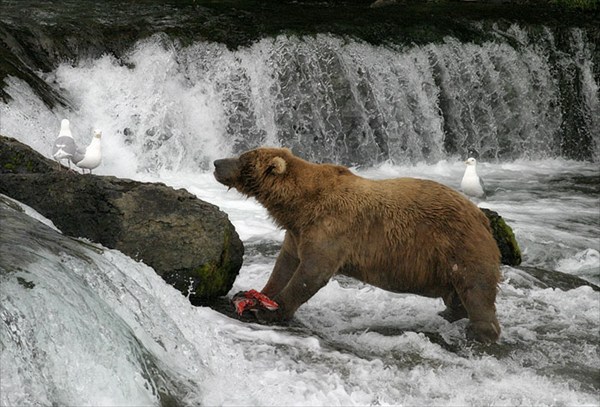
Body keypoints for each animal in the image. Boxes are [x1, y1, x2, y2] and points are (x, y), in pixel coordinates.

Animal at [213, 148, 500, 342]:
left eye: (242, 159)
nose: (216, 162)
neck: (299, 206)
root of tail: (481, 217)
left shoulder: (331, 228)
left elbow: (310, 273)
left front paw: (269, 311)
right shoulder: (297, 234)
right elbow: (284, 265)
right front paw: (256, 295)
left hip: (459, 246)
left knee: (477, 290)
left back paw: (479, 332)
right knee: (458, 295)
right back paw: (447, 315)